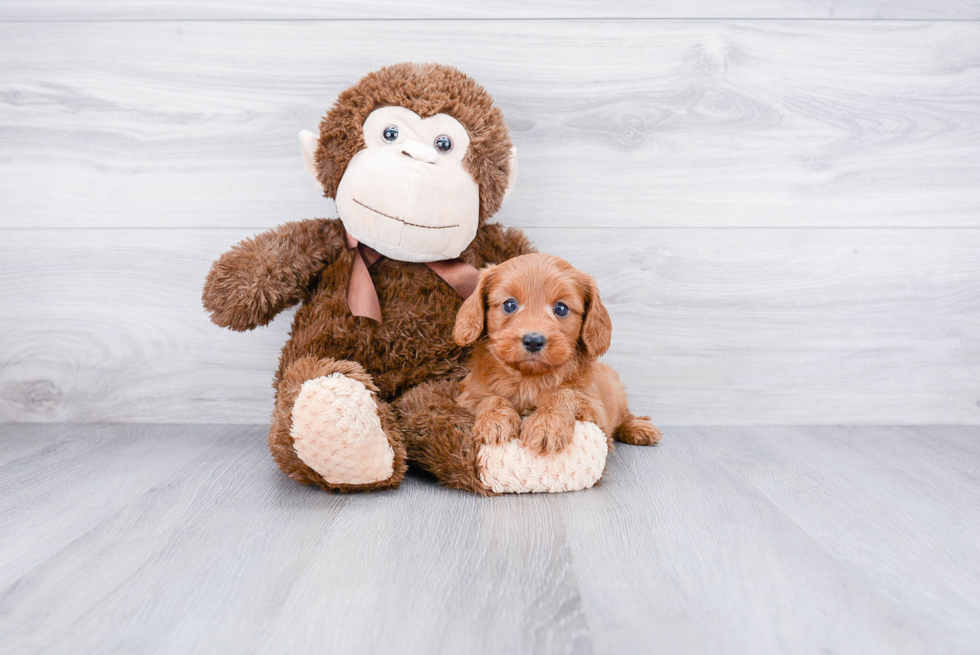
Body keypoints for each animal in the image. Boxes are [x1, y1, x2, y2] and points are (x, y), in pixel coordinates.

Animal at [456, 252, 664, 456]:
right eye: (509, 305)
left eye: (561, 308)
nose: (533, 341)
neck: (528, 379)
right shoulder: (466, 397)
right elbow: (488, 398)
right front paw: (495, 420)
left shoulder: (595, 409)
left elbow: (565, 394)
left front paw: (547, 424)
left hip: (616, 391)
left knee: (624, 415)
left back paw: (638, 428)